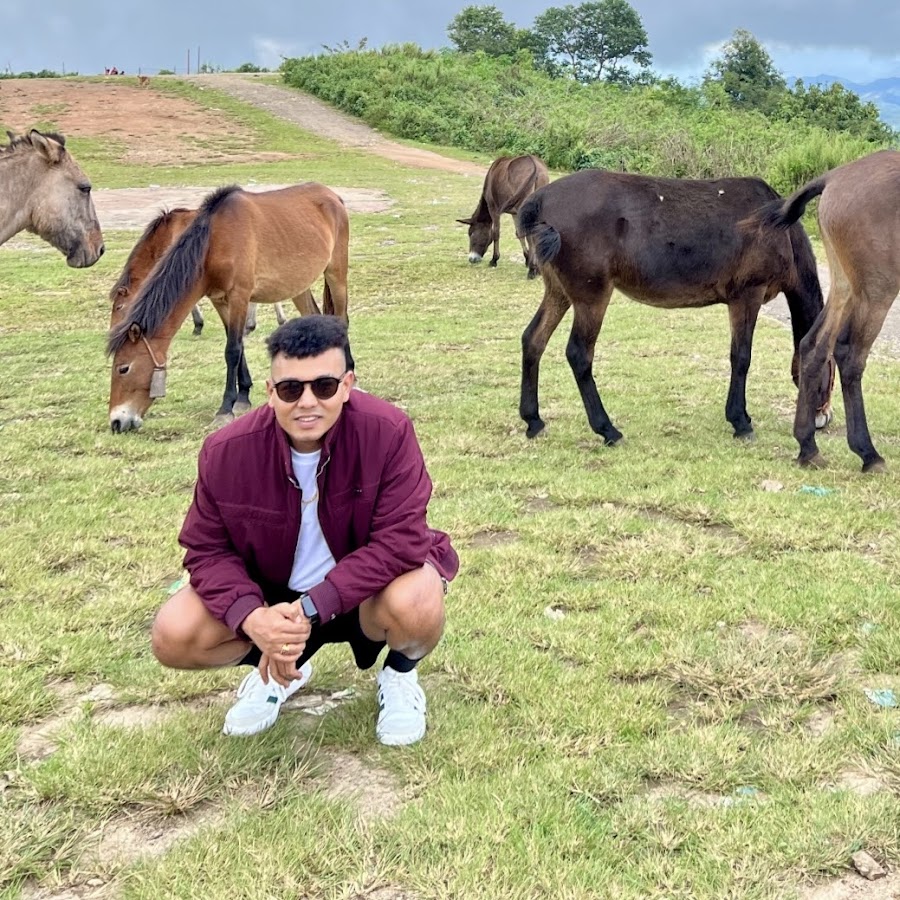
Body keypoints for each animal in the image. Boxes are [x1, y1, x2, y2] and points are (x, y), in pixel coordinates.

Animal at [515, 168, 835, 445]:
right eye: (830, 371)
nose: (824, 418)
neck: (780, 231)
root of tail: (541, 199)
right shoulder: (747, 297)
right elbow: (741, 358)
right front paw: (740, 421)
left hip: (559, 292)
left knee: (534, 340)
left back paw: (534, 420)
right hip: (591, 297)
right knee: (579, 354)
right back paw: (607, 429)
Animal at [751, 149, 900, 472]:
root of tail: (835, 176)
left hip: (844, 286)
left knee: (814, 346)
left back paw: (807, 446)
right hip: (877, 290)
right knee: (851, 357)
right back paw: (868, 453)